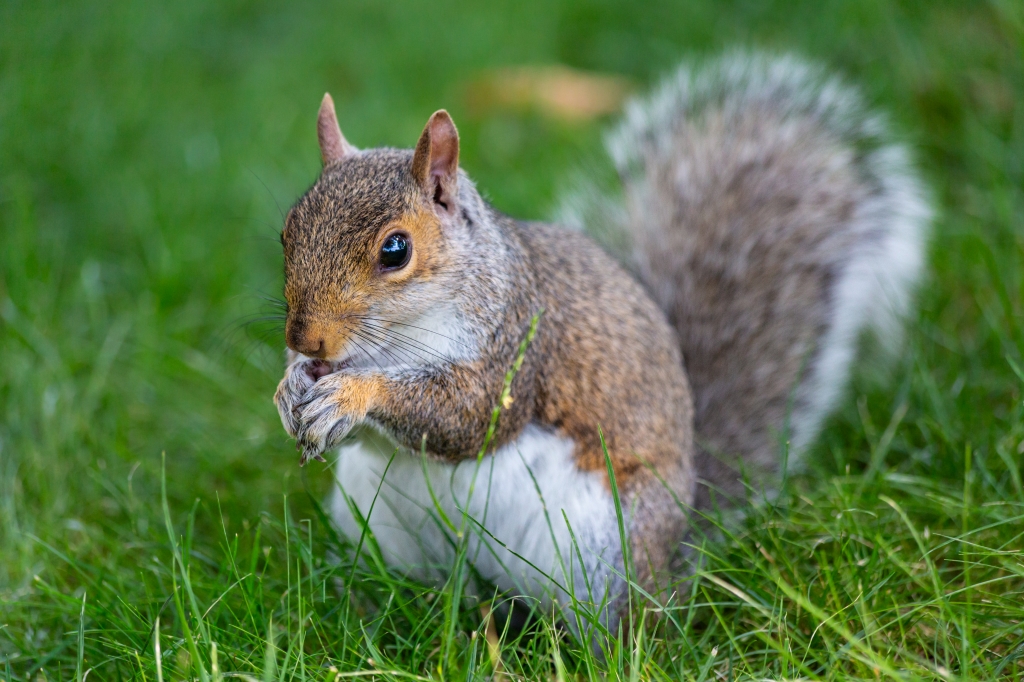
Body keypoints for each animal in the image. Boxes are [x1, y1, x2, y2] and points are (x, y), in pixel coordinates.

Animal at [273, 52, 930, 639]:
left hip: (603, 550)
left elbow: (468, 418)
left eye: (396, 249)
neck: (393, 342)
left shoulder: (516, 343)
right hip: (379, 523)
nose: (304, 336)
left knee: (620, 627)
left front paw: (353, 395)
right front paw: (290, 387)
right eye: (287, 231)